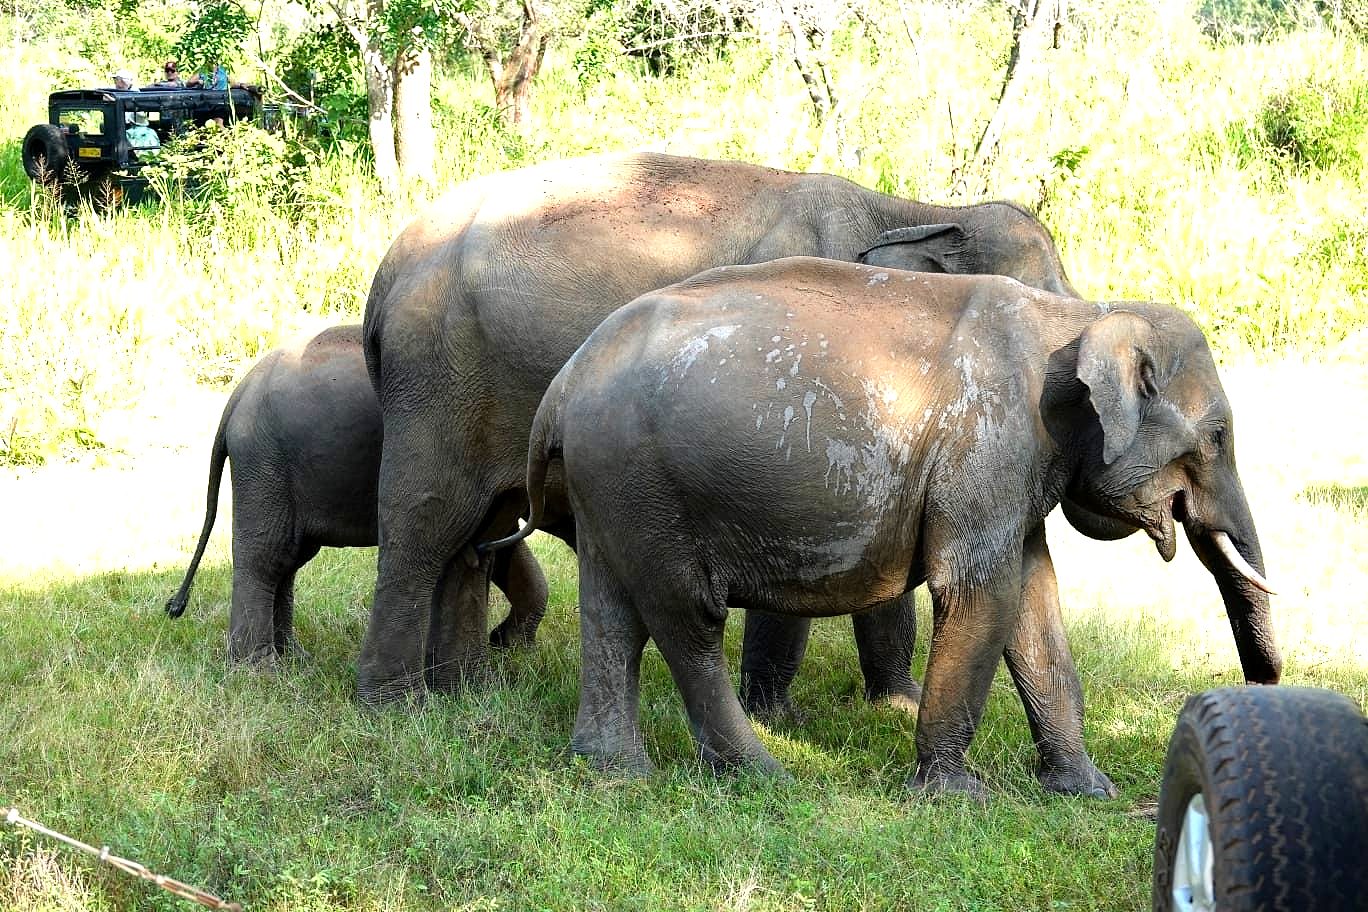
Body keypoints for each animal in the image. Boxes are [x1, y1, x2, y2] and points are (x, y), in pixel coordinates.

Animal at [165, 324, 549, 663]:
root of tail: (238, 394)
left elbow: (499, 541)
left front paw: (509, 644)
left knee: (288, 557)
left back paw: (294, 659)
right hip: (264, 462)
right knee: (264, 556)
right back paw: (261, 668)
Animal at [360, 150, 1081, 706]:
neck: (910, 209)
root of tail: (386, 274)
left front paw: (893, 705)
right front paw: (775, 717)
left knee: (473, 539)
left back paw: (464, 689)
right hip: (437, 381)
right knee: (424, 523)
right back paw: (395, 703)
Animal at [485, 257, 1281, 799]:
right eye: (1216, 436)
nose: (1258, 686)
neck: (1078, 318)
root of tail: (563, 385)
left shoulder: (1014, 466)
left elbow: (1033, 599)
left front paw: (1086, 792)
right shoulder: (988, 441)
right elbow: (980, 592)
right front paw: (957, 799)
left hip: (612, 484)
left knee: (611, 610)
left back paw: (612, 769)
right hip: (646, 480)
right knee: (685, 617)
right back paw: (763, 774)